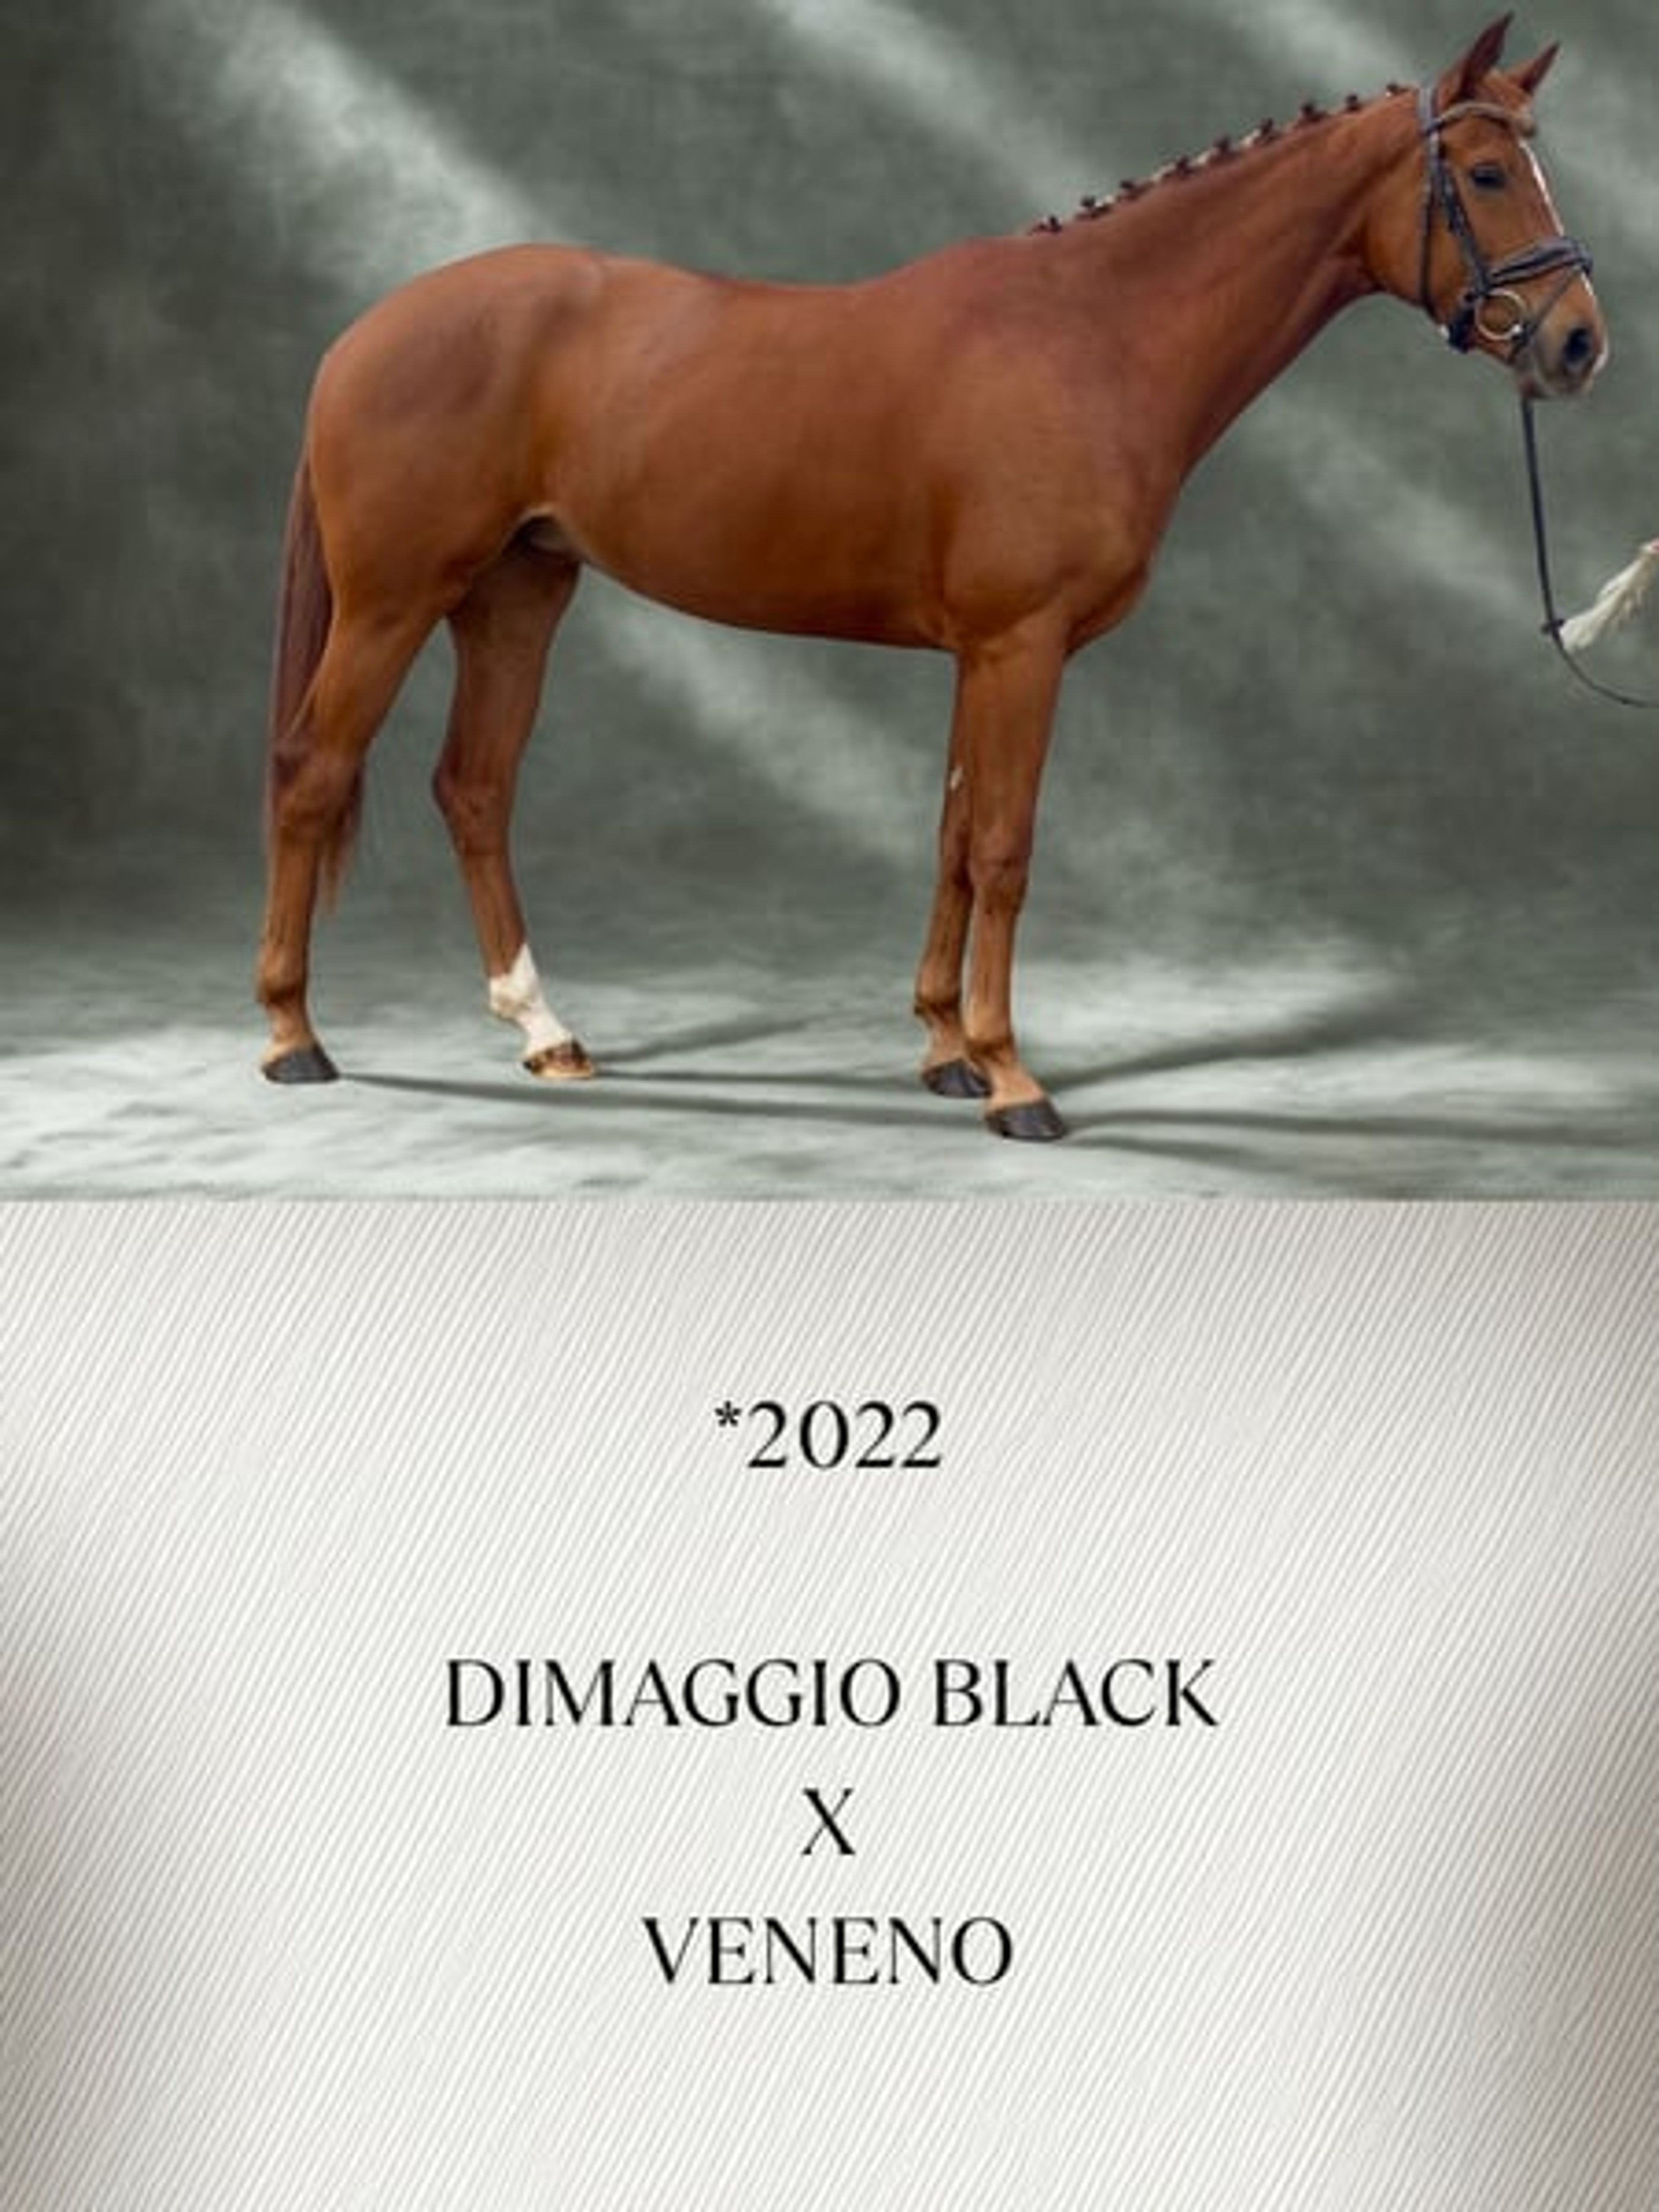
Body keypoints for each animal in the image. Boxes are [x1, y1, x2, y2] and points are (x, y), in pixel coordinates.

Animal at [257, 13, 1603, 1140]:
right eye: (1488, 175)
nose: (1580, 343)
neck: (1092, 337)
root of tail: (362, 333)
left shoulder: (981, 655)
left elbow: (953, 836)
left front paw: (946, 1053)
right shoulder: (1022, 646)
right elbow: (1004, 847)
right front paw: (1013, 1080)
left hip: (516, 597)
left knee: (475, 789)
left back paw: (546, 1032)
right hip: (395, 603)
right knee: (314, 772)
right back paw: (291, 1037)